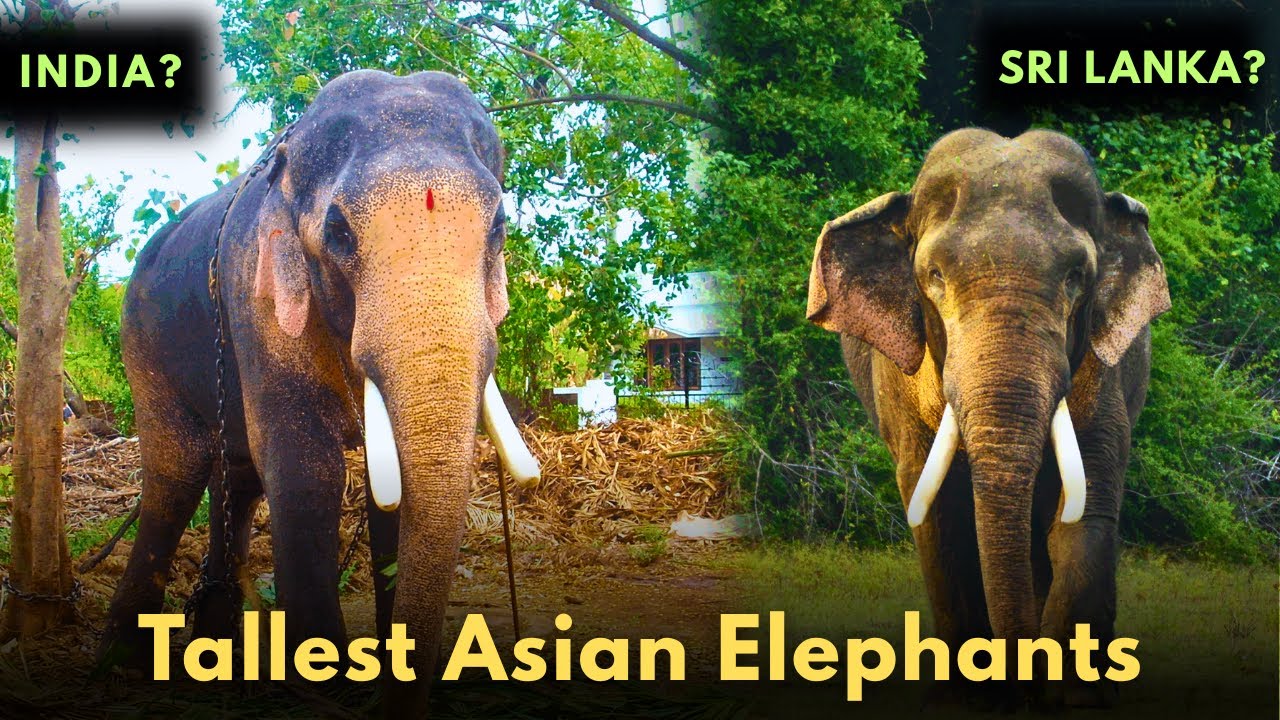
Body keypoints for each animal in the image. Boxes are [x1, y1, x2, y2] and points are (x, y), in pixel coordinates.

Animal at [100, 70, 538, 712]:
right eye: (337, 231)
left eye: (500, 226)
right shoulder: (255, 293)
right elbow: (305, 467)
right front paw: (326, 686)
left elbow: (390, 485)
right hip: (143, 344)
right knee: (175, 473)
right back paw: (123, 665)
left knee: (235, 474)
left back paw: (213, 652)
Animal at [806, 129, 1170, 705]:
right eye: (933, 275)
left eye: (1076, 276)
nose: (1020, 685)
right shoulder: (905, 388)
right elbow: (938, 513)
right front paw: (973, 695)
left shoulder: (1104, 373)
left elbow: (1085, 508)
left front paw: (1068, 696)